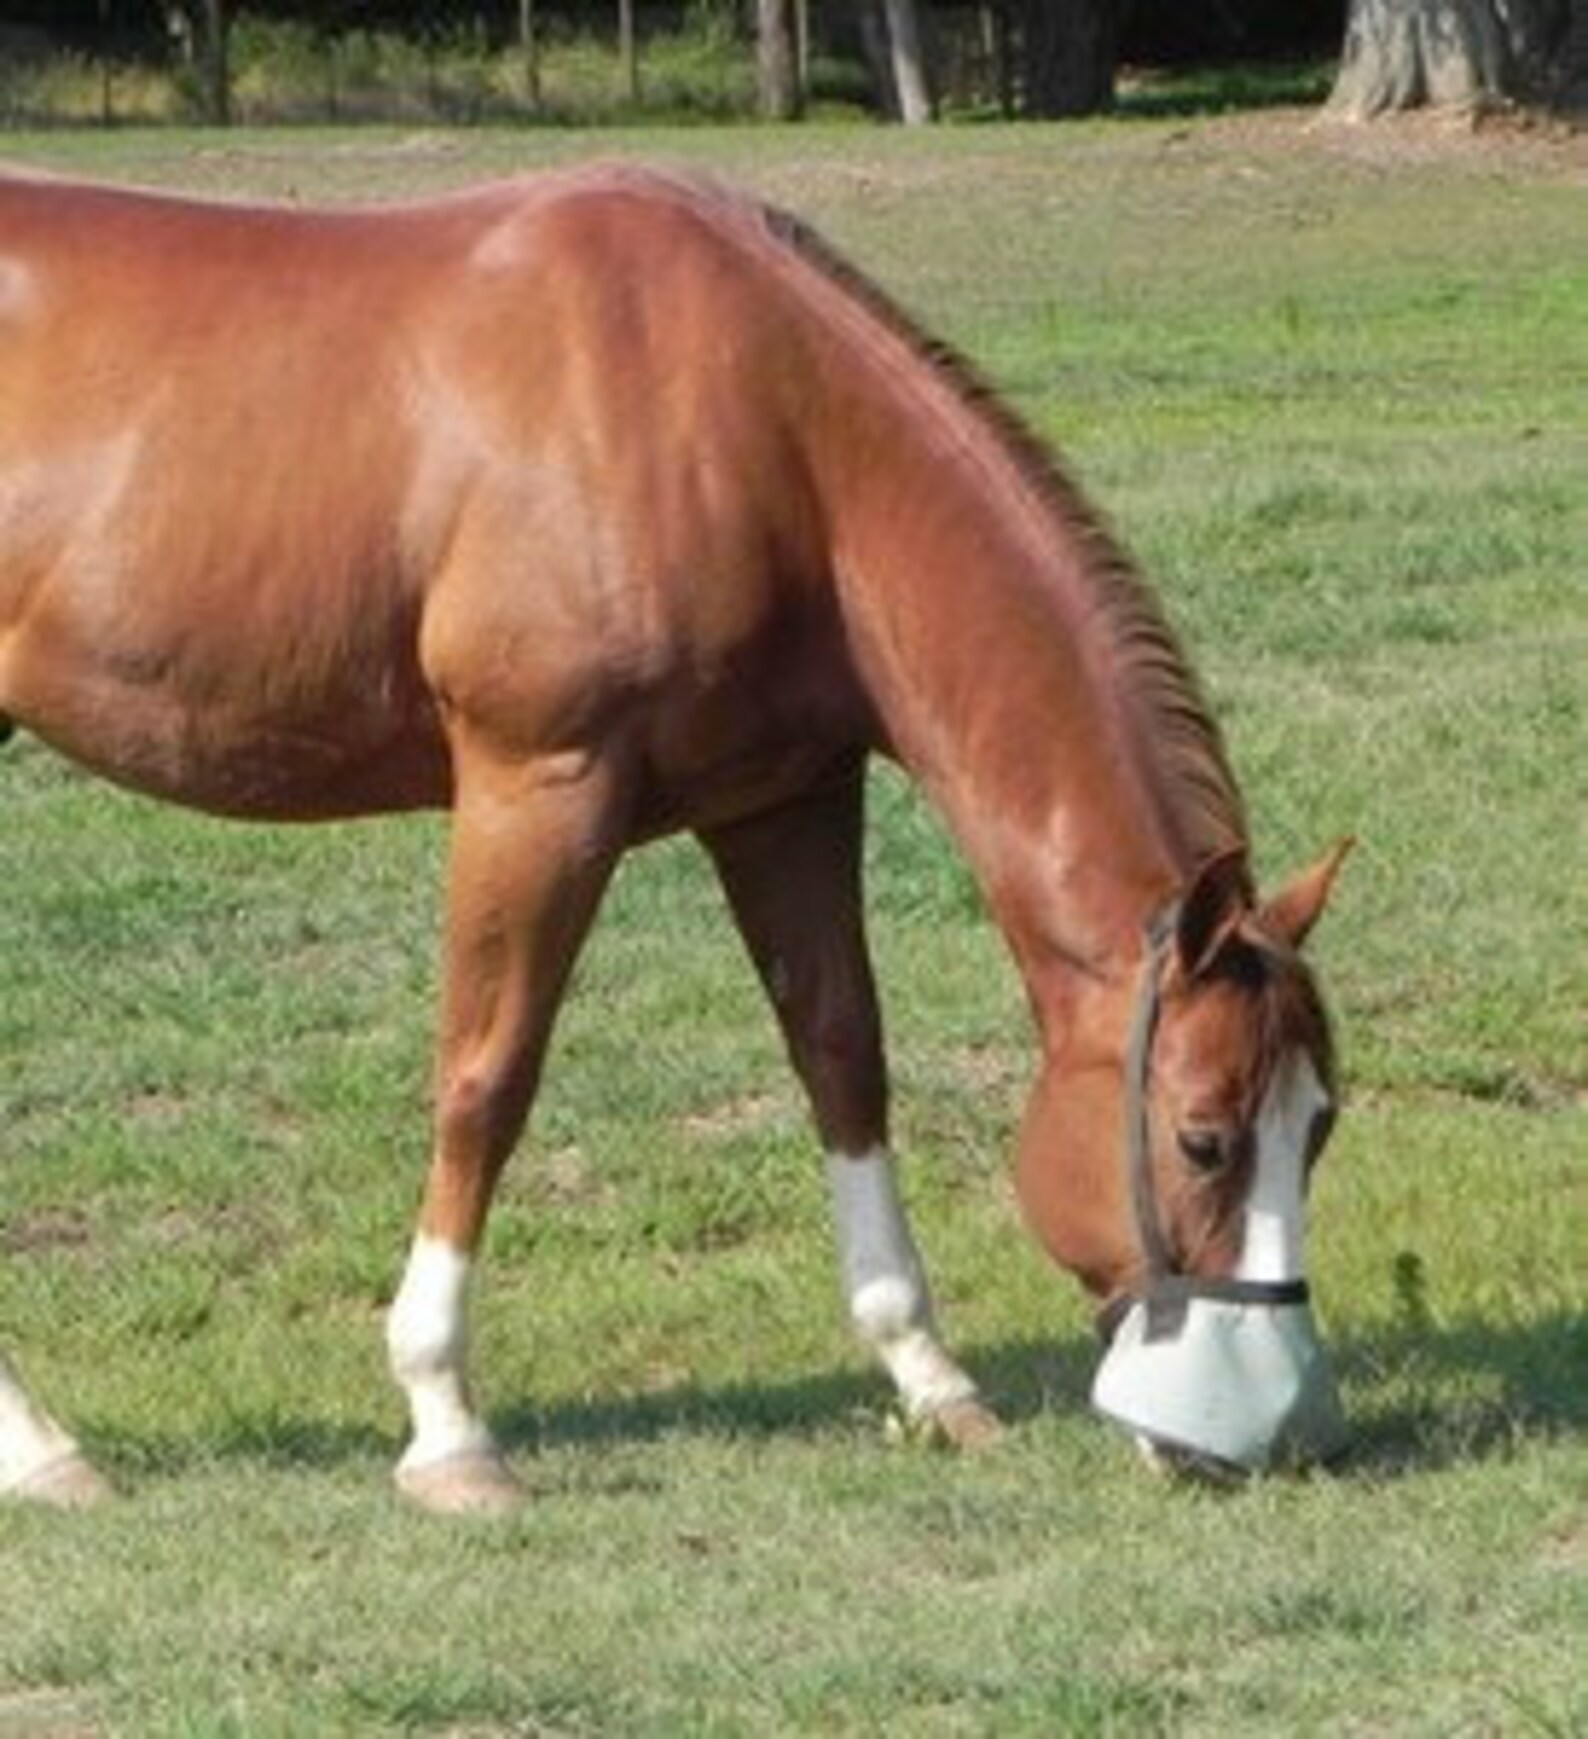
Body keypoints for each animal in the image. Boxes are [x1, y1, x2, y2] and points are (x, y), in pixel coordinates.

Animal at [0, 164, 1348, 1511]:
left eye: (1321, 1122)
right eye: (1203, 1136)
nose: (1263, 1434)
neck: (764, 427)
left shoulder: (786, 800)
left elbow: (841, 1055)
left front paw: (929, 1376)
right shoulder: (537, 789)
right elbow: (486, 1081)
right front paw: (447, 1423)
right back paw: (45, 1448)